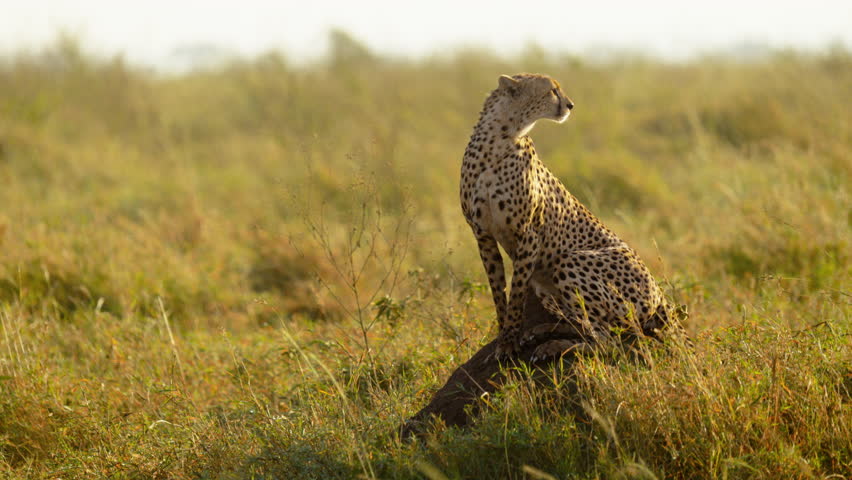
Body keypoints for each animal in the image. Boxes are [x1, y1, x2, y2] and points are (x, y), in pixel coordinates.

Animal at [460, 73, 675, 361]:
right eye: (552, 90)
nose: (571, 105)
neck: (501, 136)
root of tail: (659, 294)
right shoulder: (482, 235)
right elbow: (498, 292)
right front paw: (505, 337)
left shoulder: (529, 234)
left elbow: (516, 293)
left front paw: (508, 342)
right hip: (546, 283)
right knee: (590, 327)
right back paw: (541, 332)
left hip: (570, 262)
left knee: (609, 342)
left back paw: (554, 346)